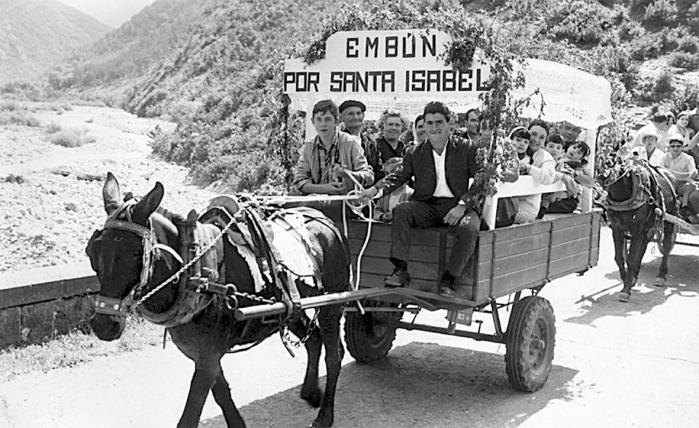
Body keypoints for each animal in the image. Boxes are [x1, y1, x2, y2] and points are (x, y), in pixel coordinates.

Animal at [86, 172, 351, 428]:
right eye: (92, 252)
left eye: (135, 254)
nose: (103, 326)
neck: (195, 273)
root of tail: (325, 220)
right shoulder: (204, 353)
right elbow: (222, 394)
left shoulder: (208, 355)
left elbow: (191, 414)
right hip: (293, 308)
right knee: (313, 339)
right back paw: (311, 392)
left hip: (333, 302)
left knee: (334, 354)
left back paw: (325, 415)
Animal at [601, 158, 678, 302]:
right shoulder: (617, 228)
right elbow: (619, 257)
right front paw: (627, 279)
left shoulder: (637, 228)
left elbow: (631, 259)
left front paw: (626, 290)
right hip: (647, 226)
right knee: (643, 246)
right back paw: (636, 275)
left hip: (669, 220)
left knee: (665, 247)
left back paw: (661, 275)